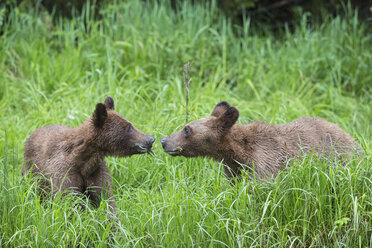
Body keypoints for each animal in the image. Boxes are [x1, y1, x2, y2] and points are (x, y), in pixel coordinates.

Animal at [22, 96, 155, 212]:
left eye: (130, 124)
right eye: (128, 127)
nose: (151, 139)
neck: (83, 161)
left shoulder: (96, 172)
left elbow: (106, 200)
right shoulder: (64, 173)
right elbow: (69, 203)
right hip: (33, 174)